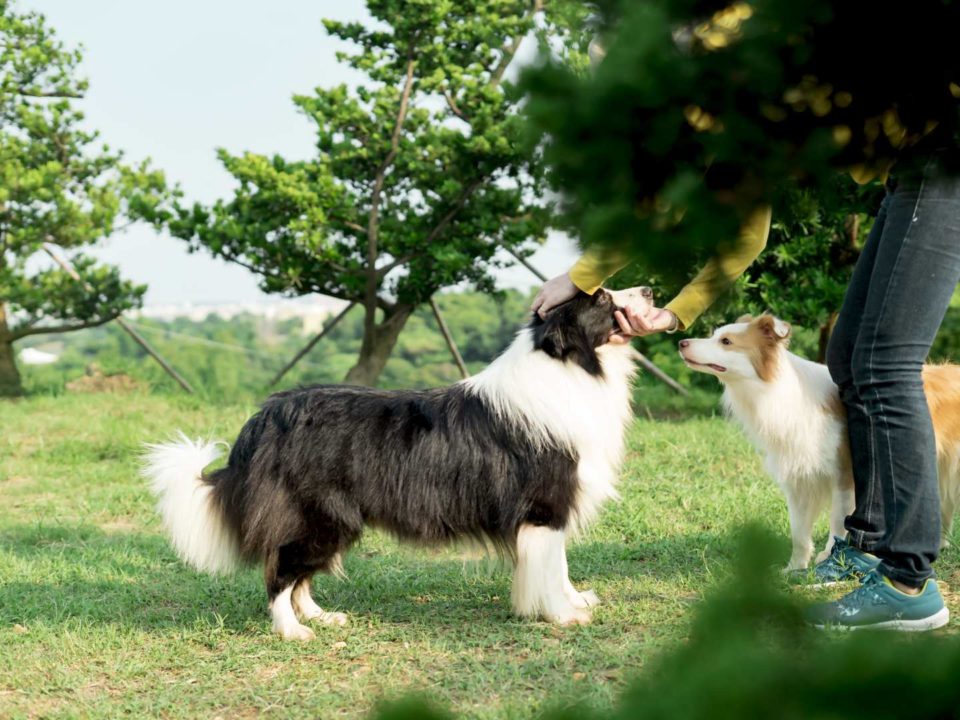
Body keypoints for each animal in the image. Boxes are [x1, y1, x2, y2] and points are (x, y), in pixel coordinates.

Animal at [680, 312, 960, 572]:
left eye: (726, 341)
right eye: (715, 334)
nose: (682, 342)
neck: (777, 391)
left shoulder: (844, 474)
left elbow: (837, 520)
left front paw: (829, 558)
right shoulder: (797, 478)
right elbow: (798, 531)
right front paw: (795, 568)